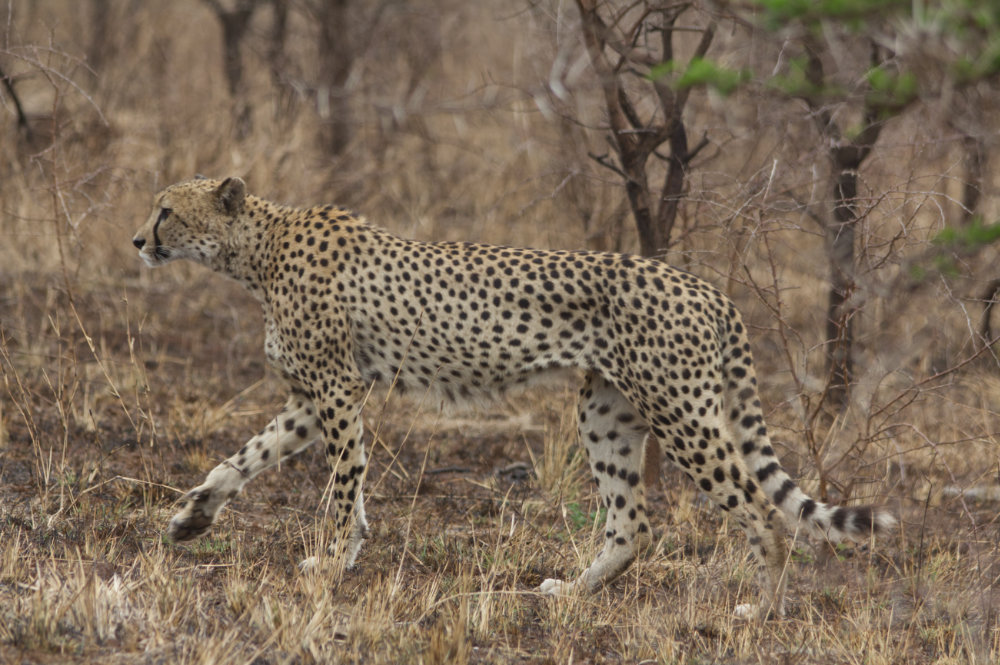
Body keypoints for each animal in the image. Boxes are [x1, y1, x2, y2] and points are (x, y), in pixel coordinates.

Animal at [132, 176, 895, 617]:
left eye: (167, 210)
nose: (138, 239)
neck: (255, 252)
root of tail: (708, 289)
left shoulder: (337, 390)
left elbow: (343, 485)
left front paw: (331, 562)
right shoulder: (310, 396)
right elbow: (241, 459)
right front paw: (191, 518)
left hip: (681, 415)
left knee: (762, 512)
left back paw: (762, 609)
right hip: (606, 410)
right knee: (633, 522)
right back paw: (572, 593)